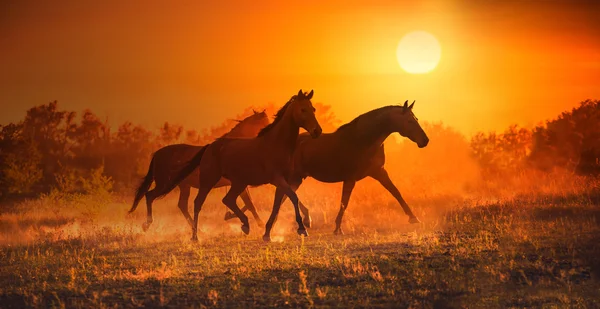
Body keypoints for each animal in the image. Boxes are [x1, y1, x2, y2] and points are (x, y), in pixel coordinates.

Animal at [129, 109, 270, 230]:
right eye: (264, 122)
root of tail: (157, 154)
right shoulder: (237, 183)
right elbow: (249, 203)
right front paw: (259, 224)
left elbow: (249, 203)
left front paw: (234, 216)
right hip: (164, 184)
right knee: (149, 196)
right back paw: (147, 224)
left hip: (183, 186)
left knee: (182, 205)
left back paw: (196, 229)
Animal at [155, 89, 324, 241]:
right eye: (303, 109)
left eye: (313, 109)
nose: (317, 131)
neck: (276, 143)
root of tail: (210, 146)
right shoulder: (277, 179)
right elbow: (292, 198)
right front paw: (302, 228)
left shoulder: (282, 181)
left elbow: (279, 203)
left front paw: (268, 233)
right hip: (209, 181)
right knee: (198, 203)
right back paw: (195, 236)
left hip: (238, 183)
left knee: (227, 200)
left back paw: (245, 225)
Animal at [262, 100, 426, 239]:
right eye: (410, 121)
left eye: (416, 119)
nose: (425, 140)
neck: (364, 141)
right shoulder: (350, 178)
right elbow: (344, 202)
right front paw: (337, 229)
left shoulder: (379, 172)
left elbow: (396, 192)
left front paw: (413, 218)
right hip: (294, 176)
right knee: (281, 195)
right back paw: (272, 230)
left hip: (297, 178)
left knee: (285, 196)